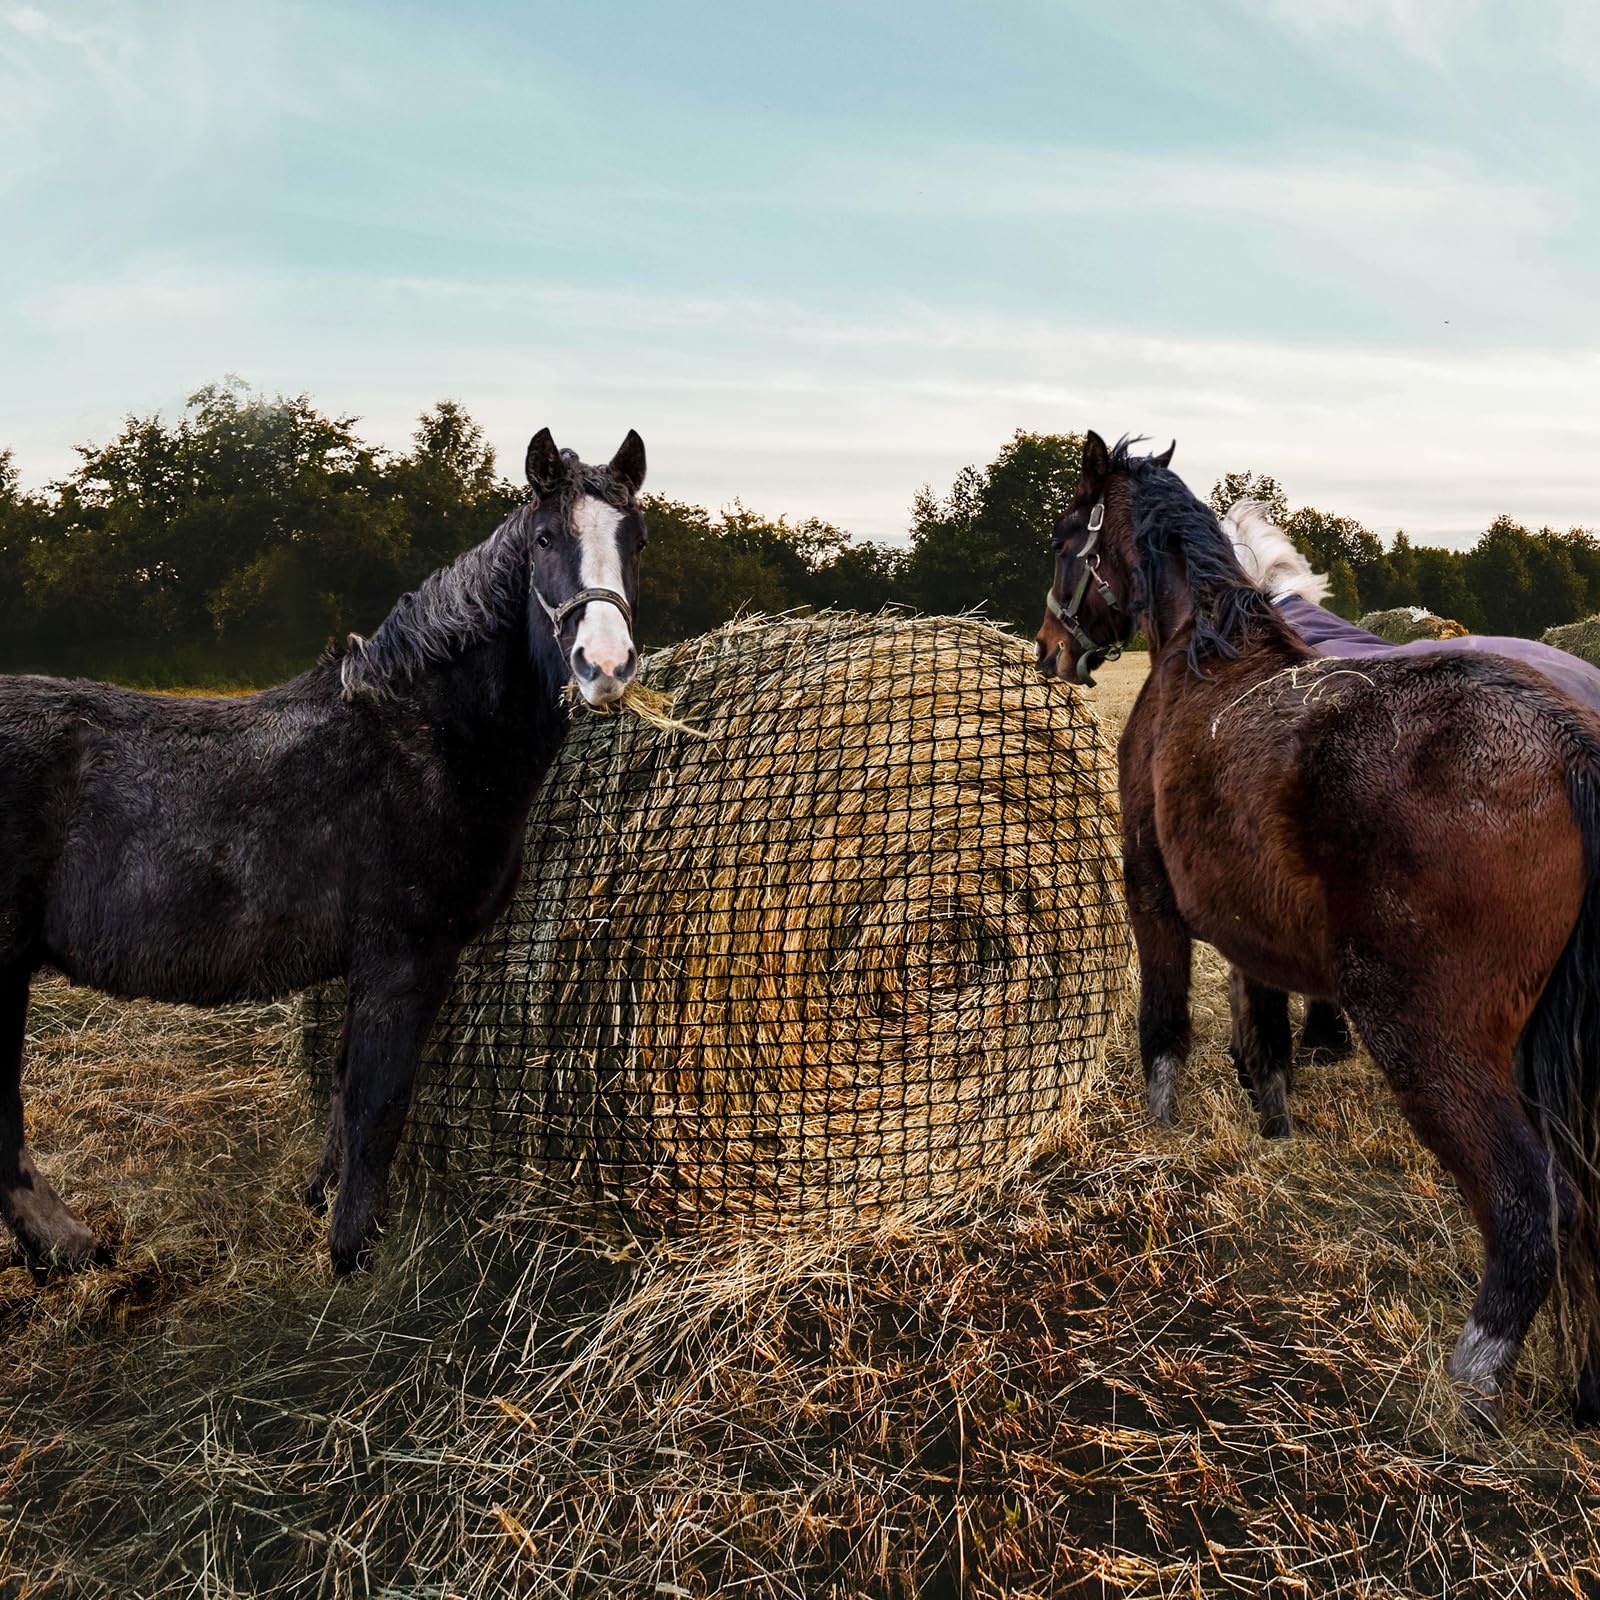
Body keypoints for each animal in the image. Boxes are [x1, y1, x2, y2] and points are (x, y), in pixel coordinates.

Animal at [0, 426, 647, 1277]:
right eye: (545, 539)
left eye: (636, 541)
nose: (604, 668)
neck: (423, 735)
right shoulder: (408, 954)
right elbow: (379, 1103)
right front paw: (352, 1257)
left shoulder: (368, 963)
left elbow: (344, 1095)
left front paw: (323, 1205)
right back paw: (70, 1246)